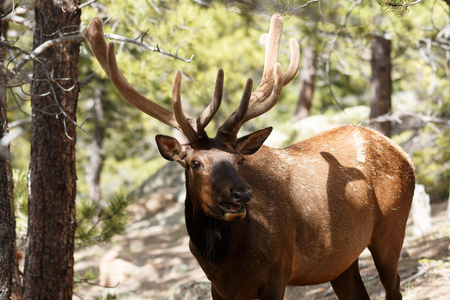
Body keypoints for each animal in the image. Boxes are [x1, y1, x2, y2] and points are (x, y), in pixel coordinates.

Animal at [81, 12, 414, 298]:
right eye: (195, 162)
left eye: (239, 160)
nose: (241, 194)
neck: (224, 262)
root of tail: (400, 151)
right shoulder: (219, 289)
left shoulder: (277, 275)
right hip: (341, 261)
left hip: (391, 230)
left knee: (395, 287)